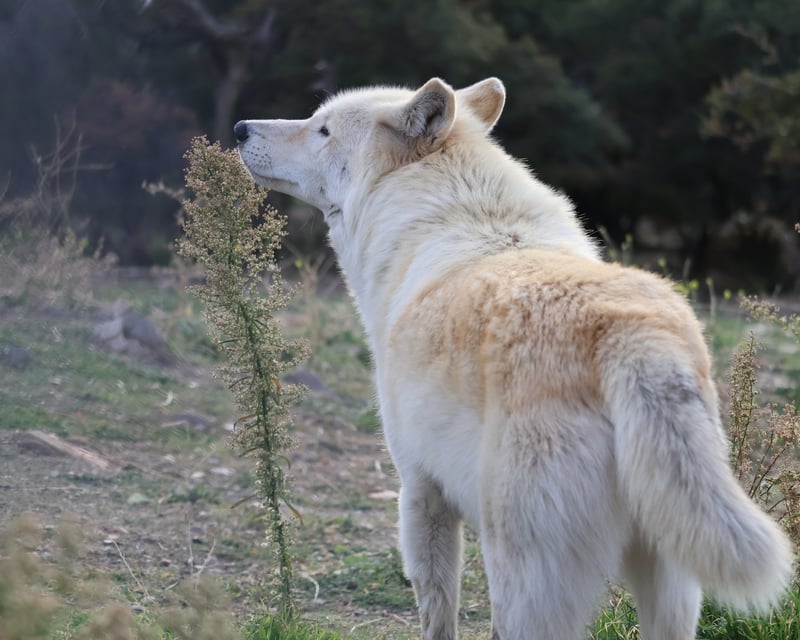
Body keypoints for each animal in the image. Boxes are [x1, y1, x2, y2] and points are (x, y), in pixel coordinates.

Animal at [234, 77, 794, 639]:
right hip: (669, 578)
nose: (239, 128)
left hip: (525, 572)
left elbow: (437, 613)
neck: (447, 218)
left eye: (322, 129)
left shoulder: (420, 490)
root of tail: (628, 334)